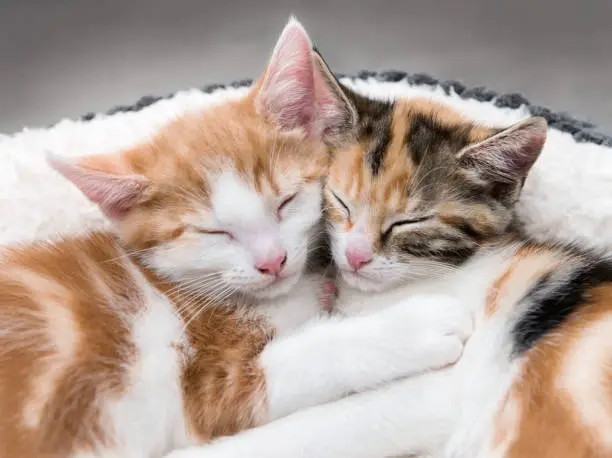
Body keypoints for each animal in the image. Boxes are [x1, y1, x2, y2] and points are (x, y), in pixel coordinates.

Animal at [0, 18, 470, 458]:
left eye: (285, 202)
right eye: (215, 232)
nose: (272, 261)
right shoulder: (212, 390)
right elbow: (314, 381)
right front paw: (422, 346)